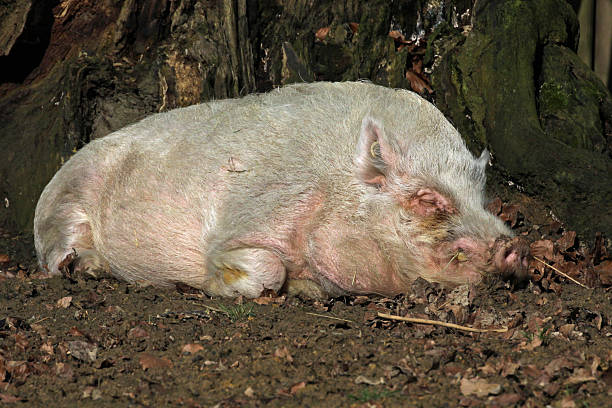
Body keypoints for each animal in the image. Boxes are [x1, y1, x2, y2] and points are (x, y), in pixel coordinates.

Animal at [34, 81, 532, 298]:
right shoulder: (254, 211)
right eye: (428, 199)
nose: (515, 246)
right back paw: (86, 268)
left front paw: (307, 291)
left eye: (481, 198)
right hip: (65, 200)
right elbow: (260, 266)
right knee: (57, 253)